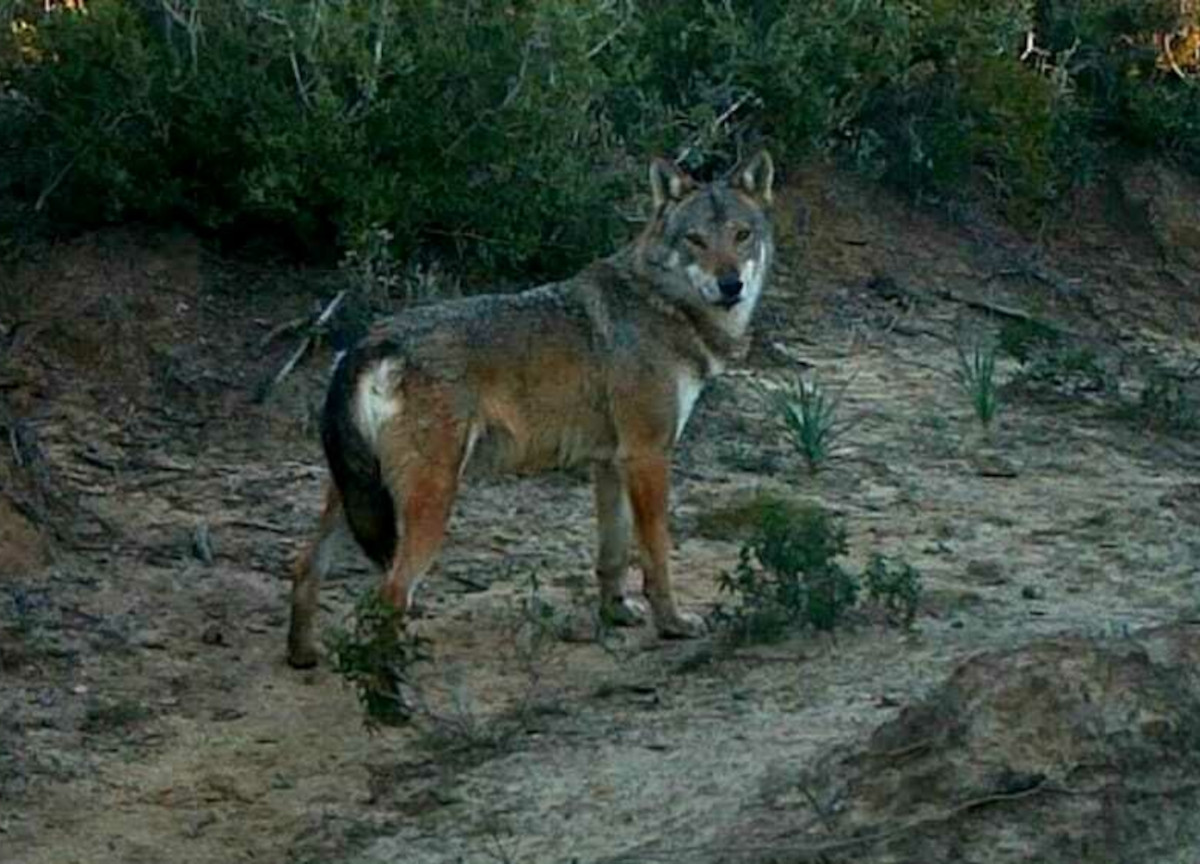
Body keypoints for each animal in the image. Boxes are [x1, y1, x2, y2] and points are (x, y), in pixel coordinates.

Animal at [290, 151, 777, 672]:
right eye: (696, 240)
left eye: (742, 235)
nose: (731, 284)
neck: (663, 303)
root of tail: (370, 340)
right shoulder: (648, 456)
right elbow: (657, 554)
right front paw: (672, 624)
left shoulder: (611, 463)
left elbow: (613, 554)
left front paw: (616, 612)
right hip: (430, 503)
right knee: (391, 593)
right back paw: (393, 684)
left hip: (354, 496)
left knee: (305, 565)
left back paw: (303, 654)